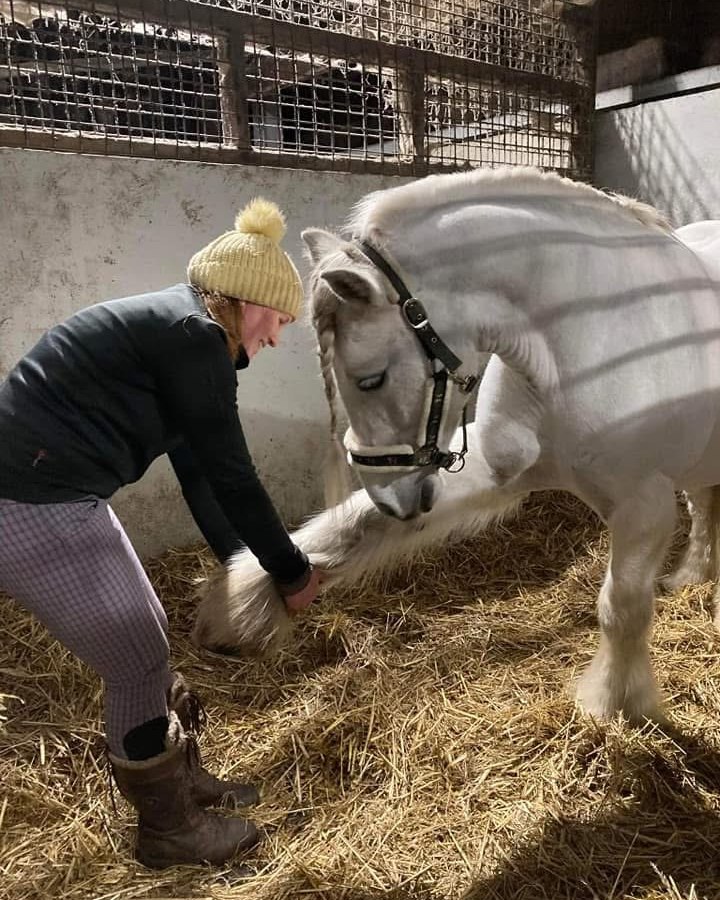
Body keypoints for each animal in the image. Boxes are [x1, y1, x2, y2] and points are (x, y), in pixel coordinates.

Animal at [194, 166, 720, 724]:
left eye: (370, 379)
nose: (395, 498)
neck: (583, 345)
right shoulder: (494, 471)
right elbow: (353, 530)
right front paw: (241, 607)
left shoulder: (644, 506)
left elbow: (620, 608)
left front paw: (614, 703)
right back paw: (693, 578)